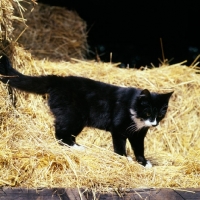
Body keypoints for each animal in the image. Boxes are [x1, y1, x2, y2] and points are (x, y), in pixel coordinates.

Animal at [0, 55, 172, 167]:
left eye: (160, 114)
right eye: (148, 112)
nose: (154, 124)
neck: (134, 108)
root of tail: (58, 80)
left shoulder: (138, 134)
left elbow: (139, 148)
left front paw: (144, 162)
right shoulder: (118, 129)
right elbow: (120, 146)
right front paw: (124, 158)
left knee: (65, 133)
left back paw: (76, 145)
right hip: (73, 116)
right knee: (60, 133)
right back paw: (77, 147)